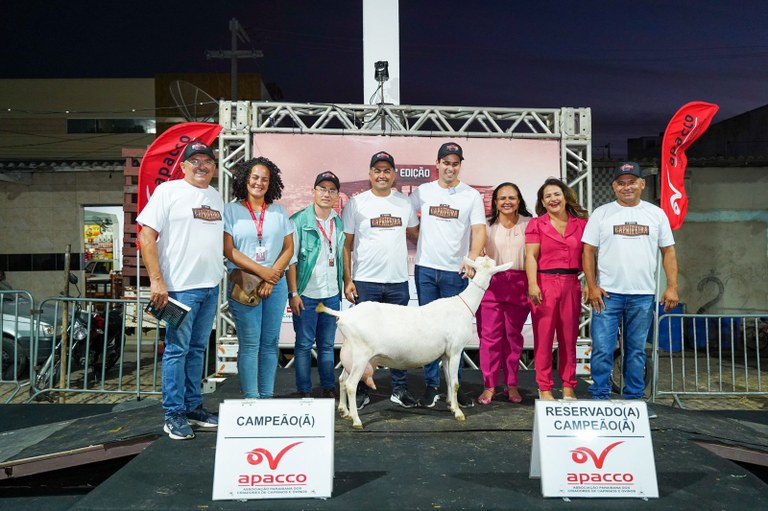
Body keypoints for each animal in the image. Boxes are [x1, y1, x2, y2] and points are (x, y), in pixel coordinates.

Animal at [316, 256, 512, 428]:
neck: (463, 305)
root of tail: (343, 315)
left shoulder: (446, 353)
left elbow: (449, 380)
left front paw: (451, 405)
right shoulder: (456, 350)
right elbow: (455, 383)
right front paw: (458, 413)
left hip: (351, 355)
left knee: (342, 379)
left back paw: (344, 411)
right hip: (361, 355)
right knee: (350, 385)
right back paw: (357, 421)